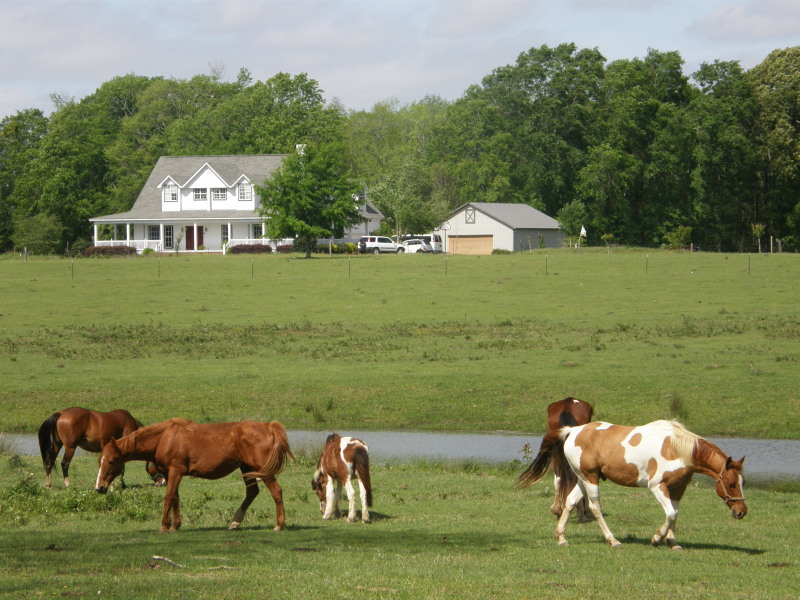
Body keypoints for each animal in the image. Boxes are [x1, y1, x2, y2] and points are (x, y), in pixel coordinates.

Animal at [94, 420, 294, 532]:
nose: (99, 487)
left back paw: (279, 524)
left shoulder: (176, 471)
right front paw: (175, 525)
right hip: (247, 469)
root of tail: (268, 427)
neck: (164, 438)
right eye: (99, 461)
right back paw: (234, 522)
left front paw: (164, 526)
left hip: (262, 471)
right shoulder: (170, 474)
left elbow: (168, 497)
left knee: (276, 491)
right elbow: (175, 498)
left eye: (111, 461)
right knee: (252, 493)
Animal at [552, 420, 748, 552]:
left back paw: (561, 537)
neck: (675, 449)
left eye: (742, 482)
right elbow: (670, 513)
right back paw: (613, 540)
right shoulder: (657, 486)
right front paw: (656, 538)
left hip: (583, 479)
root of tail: (574, 431)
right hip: (590, 478)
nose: (741, 511)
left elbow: (674, 514)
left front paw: (672, 542)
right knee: (595, 508)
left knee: (570, 502)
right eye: (731, 483)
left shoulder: (678, 489)